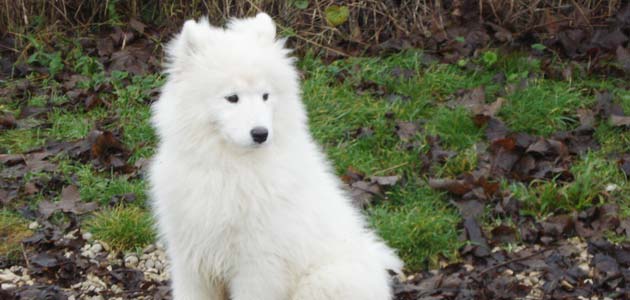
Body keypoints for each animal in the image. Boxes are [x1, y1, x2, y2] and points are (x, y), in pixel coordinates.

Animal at [151, 12, 402, 300]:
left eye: (265, 96)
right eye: (232, 98)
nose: (261, 133)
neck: (230, 168)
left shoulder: (259, 262)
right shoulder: (191, 257)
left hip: (323, 282)